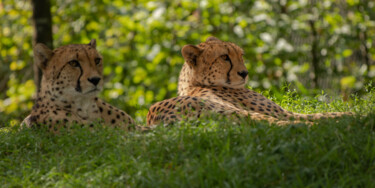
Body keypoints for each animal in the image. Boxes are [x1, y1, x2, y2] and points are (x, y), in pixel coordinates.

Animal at [148, 36, 354, 126]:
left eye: (241, 55)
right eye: (224, 57)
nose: (244, 73)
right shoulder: (282, 112)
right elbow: (316, 114)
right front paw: (350, 114)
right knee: (290, 123)